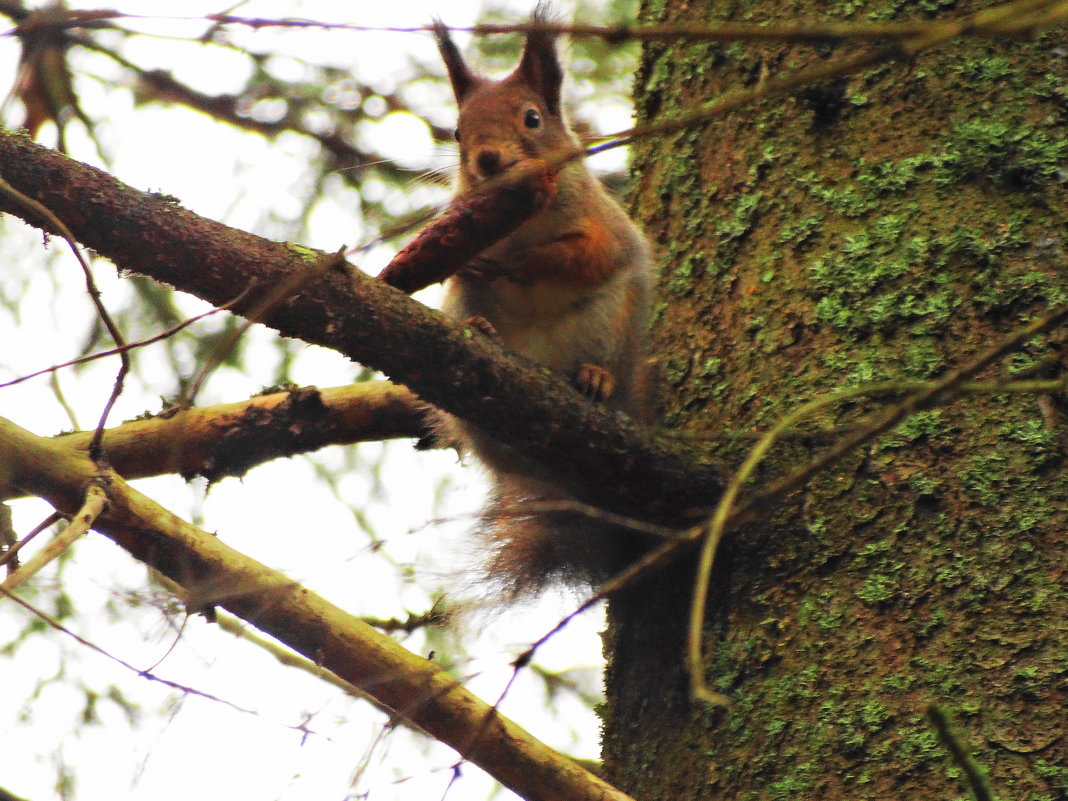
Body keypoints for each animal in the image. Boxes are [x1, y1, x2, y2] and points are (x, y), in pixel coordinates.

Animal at [431, 4, 649, 598]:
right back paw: (483, 331)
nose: (486, 160)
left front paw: (521, 265)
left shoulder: (602, 227)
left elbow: (589, 256)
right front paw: (475, 264)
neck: (522, 220)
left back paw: (595, 378)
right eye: (456, 130)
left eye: (532, 119)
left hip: (610, 322)